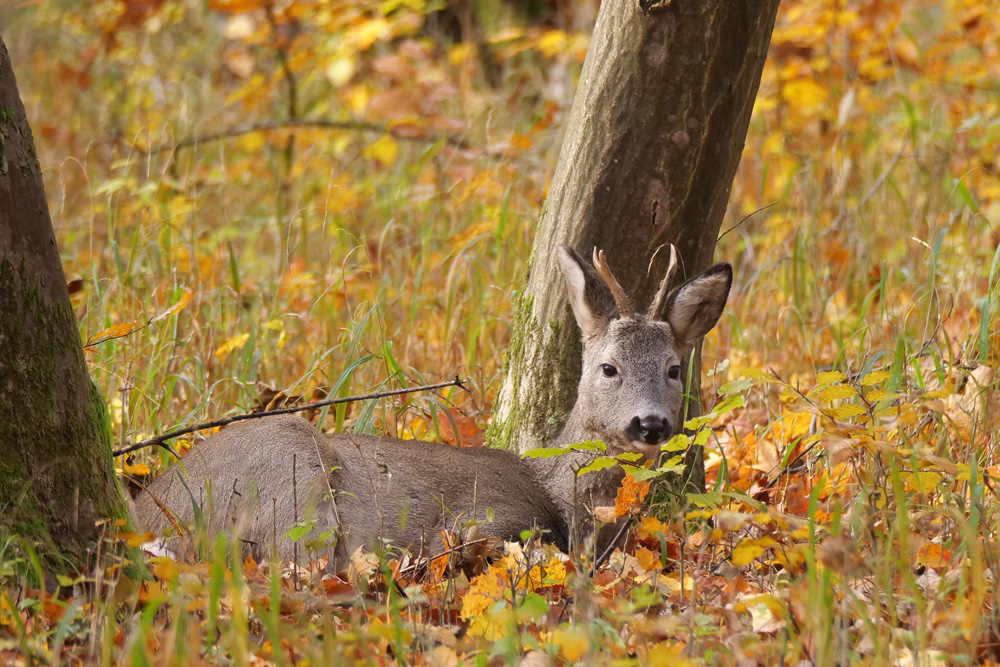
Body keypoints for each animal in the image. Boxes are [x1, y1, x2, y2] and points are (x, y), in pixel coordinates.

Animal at [129, 245, 732, 568]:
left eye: (673, 369)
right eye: (609, 368)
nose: (650, 423)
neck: (565, 499)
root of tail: (142, 513)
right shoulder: (486, 518)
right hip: (292, 481)